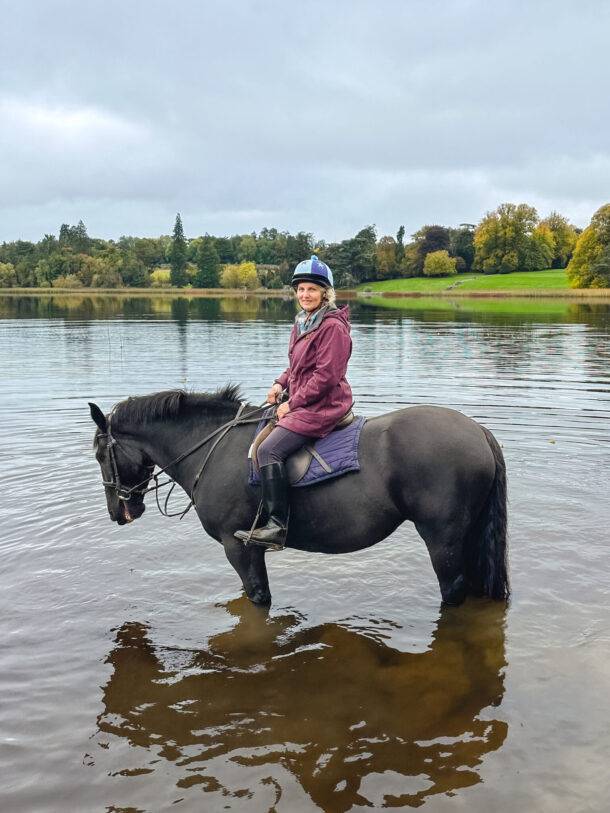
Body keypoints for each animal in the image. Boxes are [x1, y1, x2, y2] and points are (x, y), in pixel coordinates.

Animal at [89, 385, 509, 607]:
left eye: (99, 455)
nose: (118, 512)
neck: (213, 446)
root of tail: (479, 432)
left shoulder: (238, 546)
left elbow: (258, 596)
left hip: (444, 540)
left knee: (453, 590)